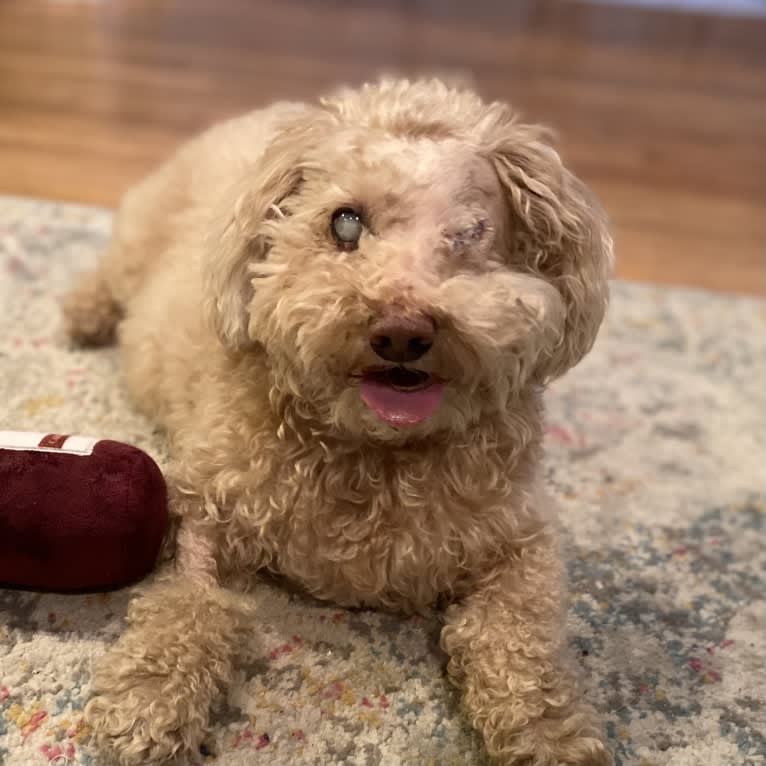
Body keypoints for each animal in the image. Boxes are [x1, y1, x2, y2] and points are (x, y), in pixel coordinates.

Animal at [64, 79, 616, 766]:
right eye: (345, 223)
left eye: (470, 234)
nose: (402, 332)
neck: (376, 450)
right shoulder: (206, 510)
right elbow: (190, 601)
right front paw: (147, 701)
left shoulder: (524, 542)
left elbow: (523, 636)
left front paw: (551, 733)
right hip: (140, 237)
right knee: (109, 273)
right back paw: (83, 314)